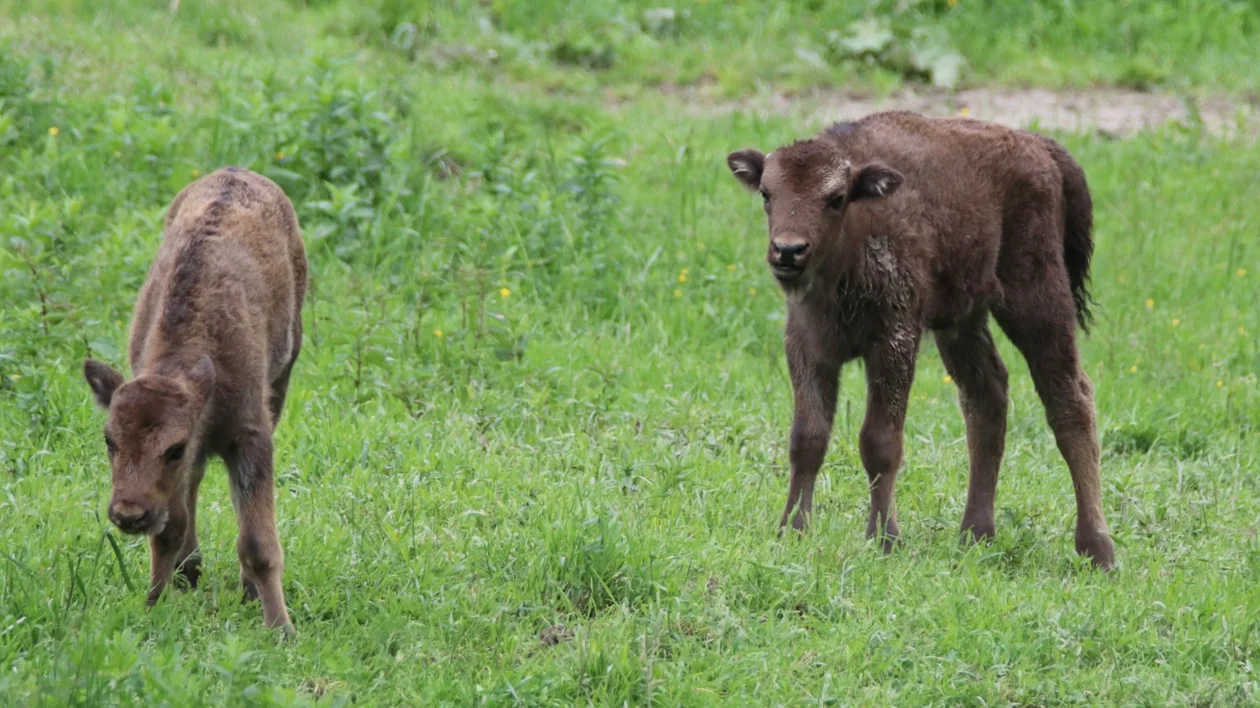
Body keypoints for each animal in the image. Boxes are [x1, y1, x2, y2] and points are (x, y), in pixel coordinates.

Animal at [83, 166, 307, 627]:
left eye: (174, 448)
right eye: (110, 441)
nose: (128, 516)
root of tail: (237, 172)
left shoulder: (250, 437)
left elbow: (258, 543)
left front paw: (281, 628)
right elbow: (168, 530)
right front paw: (154, 605)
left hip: (283, 376)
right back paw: (190, 570)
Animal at [730, 110, 1113, 566]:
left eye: (836, 198)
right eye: (767, 193)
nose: (788, 251)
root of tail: (1040, 147)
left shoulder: (894, 342)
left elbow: (879, 442)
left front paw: (884, 539)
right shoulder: (808, 348)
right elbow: (807, 439)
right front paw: (792, 531)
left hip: (1036, 301)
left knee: (1069, 400)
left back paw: (1097, 549)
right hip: (961, 322)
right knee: (987, 397)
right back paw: (975, 534)